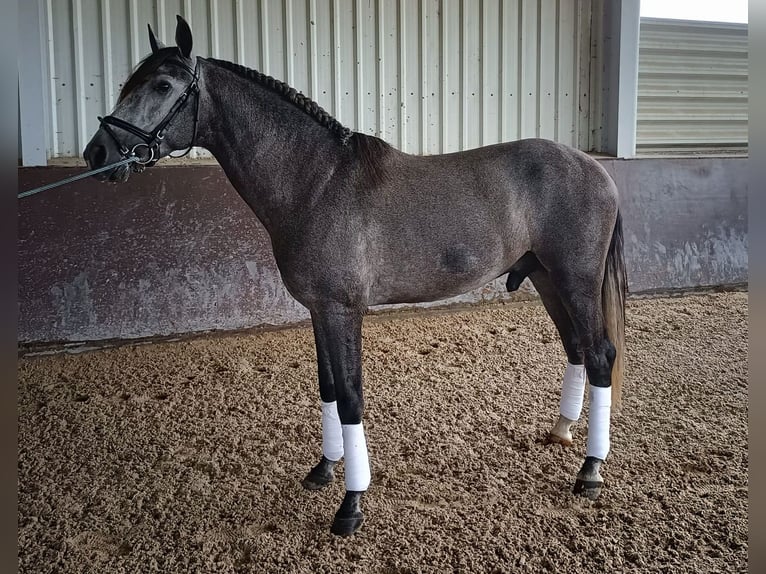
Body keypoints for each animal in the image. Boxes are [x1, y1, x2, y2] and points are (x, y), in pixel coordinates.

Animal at [84, 18, 628, 540]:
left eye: (163, 84)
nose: (97, 154)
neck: (316, 182)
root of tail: (594, 167)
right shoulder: (319, 311)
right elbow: (327, 387)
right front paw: (324, 469)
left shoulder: (342, 309)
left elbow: (349, 395)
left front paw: (350, 505)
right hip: (548, 278)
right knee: (577, 349)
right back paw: (561, 431)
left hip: (575, 280)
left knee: (600, 354)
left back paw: (591, 471)